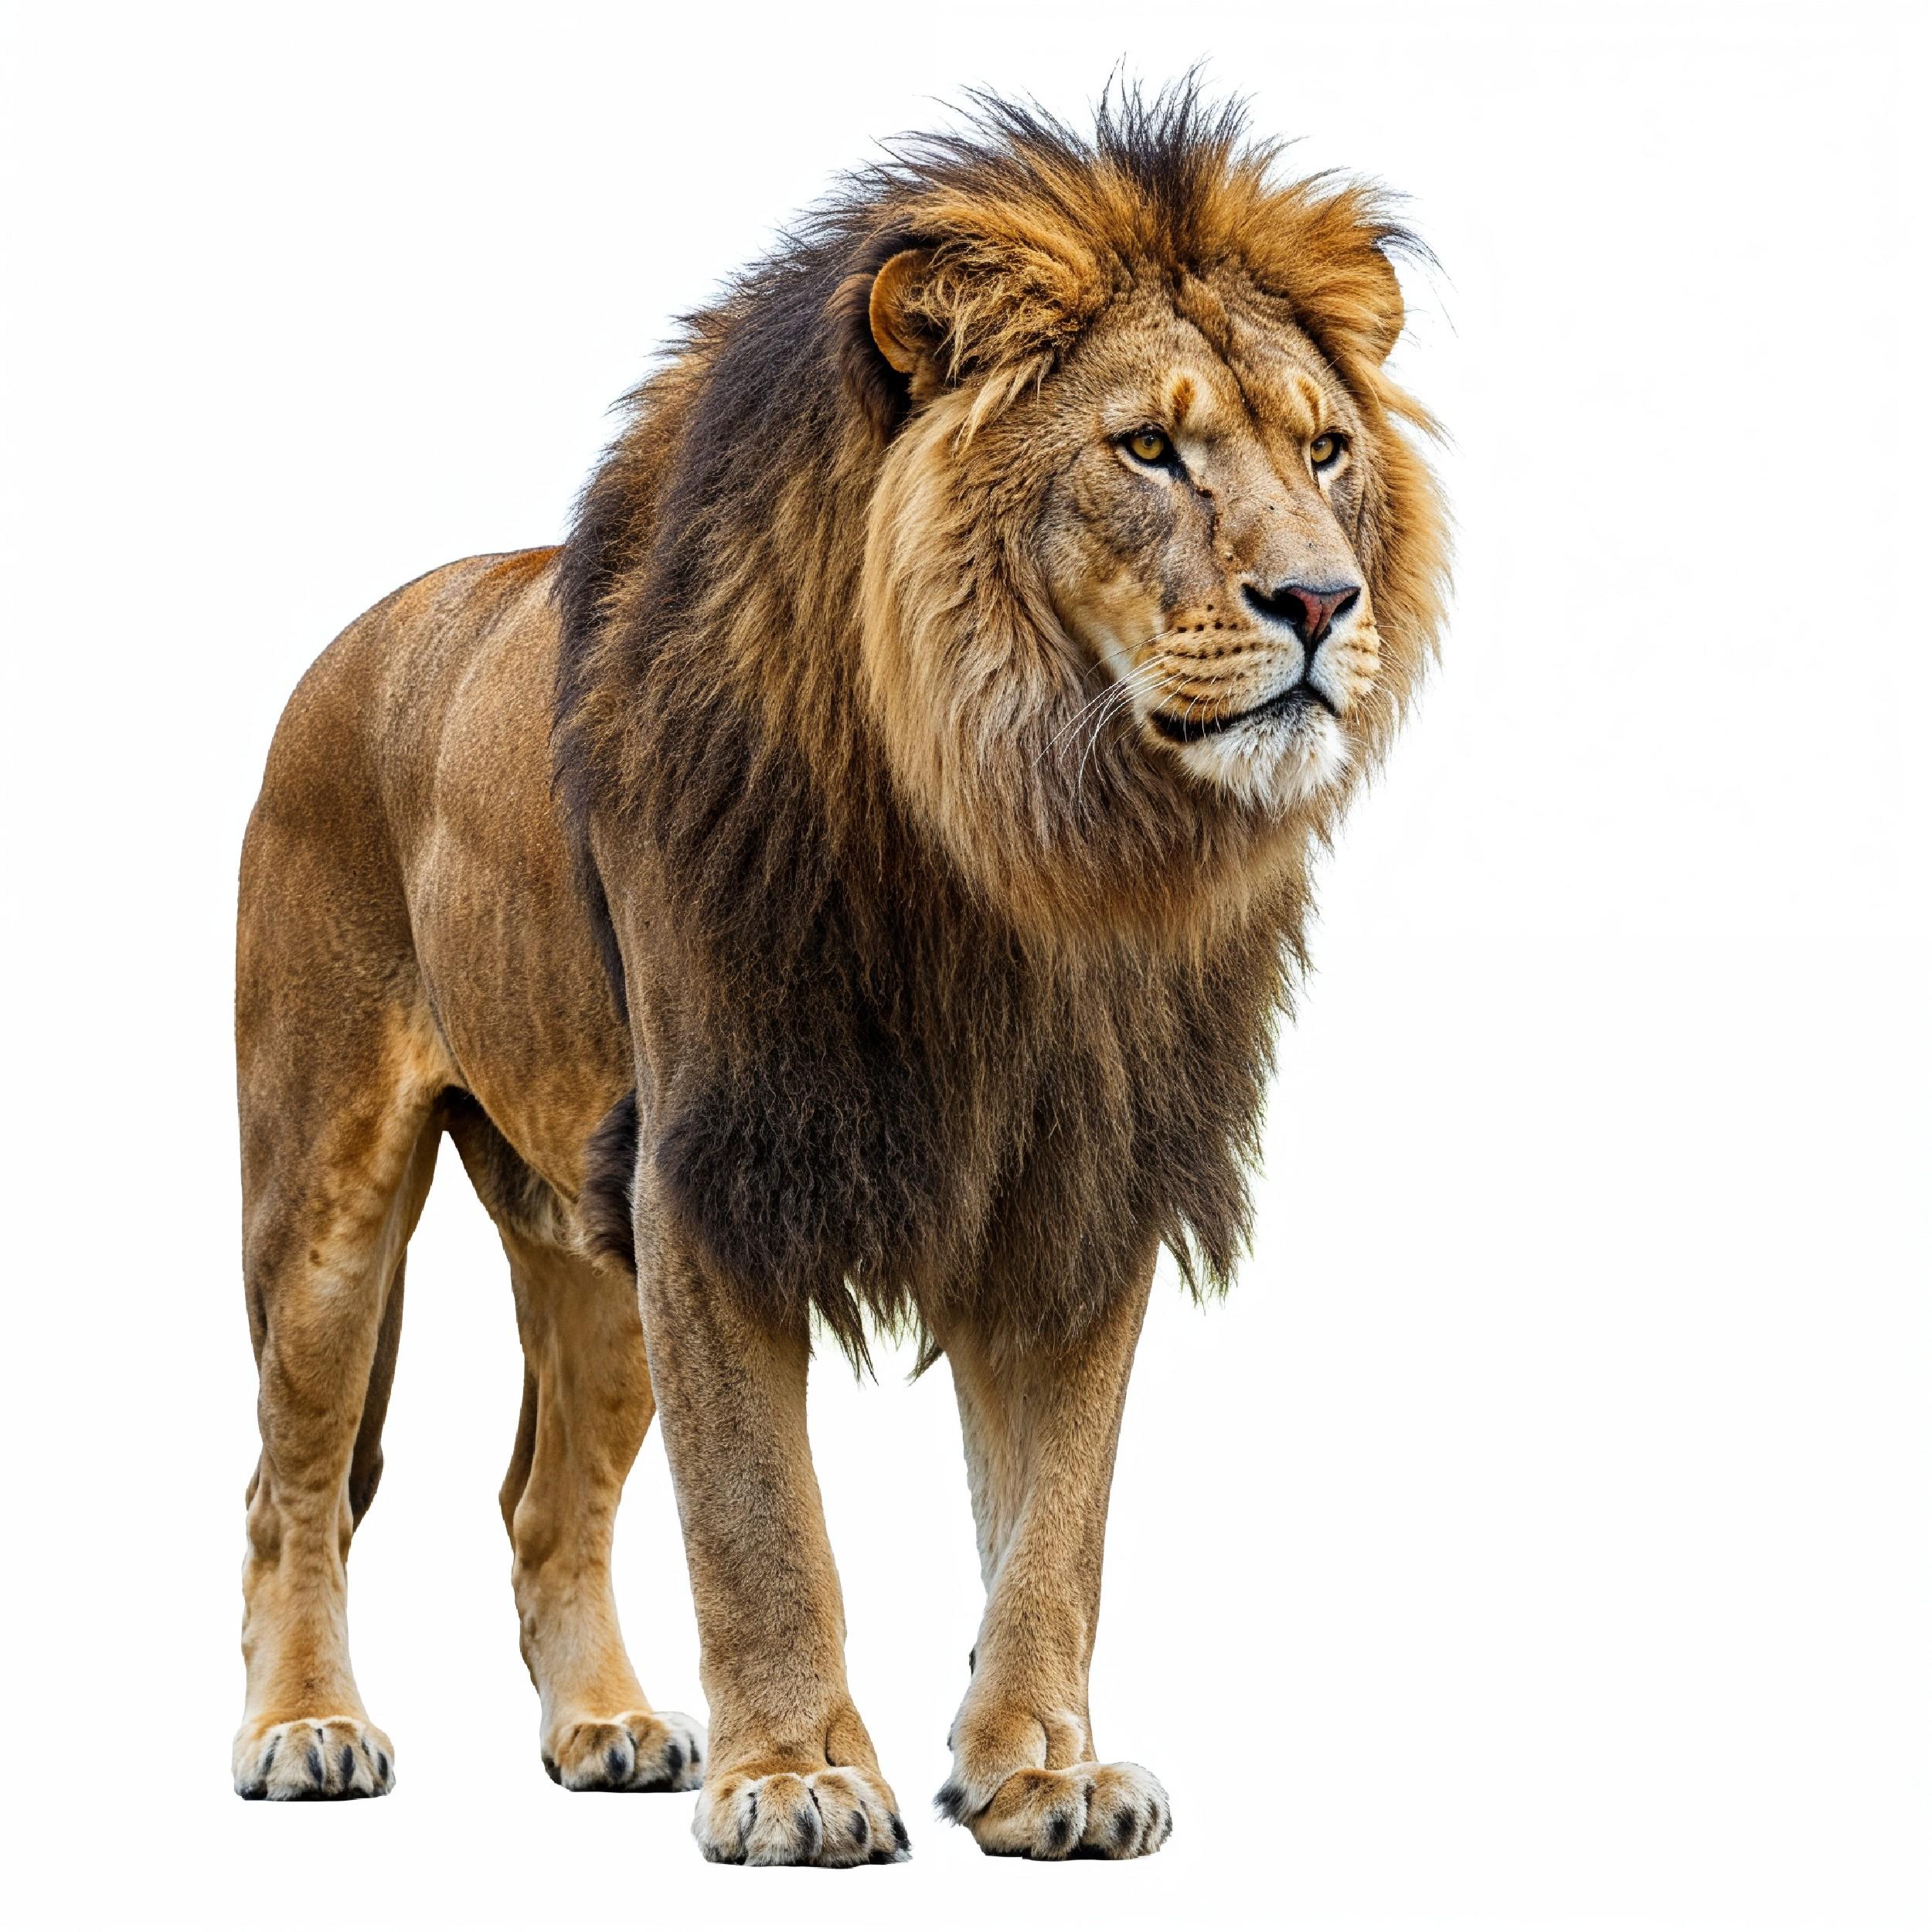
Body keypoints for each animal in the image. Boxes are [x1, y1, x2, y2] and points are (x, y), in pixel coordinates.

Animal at [231, 83, 1447, 1864]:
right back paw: (305, 1726)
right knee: (293, 1479)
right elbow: (760, 1523)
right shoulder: (714, 1171)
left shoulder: (1080, 1180)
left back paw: (602, 1726)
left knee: (543, 1498)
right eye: (1147, 449)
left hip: (585, 1237)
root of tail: (361, 633)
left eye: (1324, 449)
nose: (1320, 599)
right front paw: (799, 1776)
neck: (1025, 837)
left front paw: (1042, 1767)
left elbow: (1056, 1523)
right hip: (324, 1195)